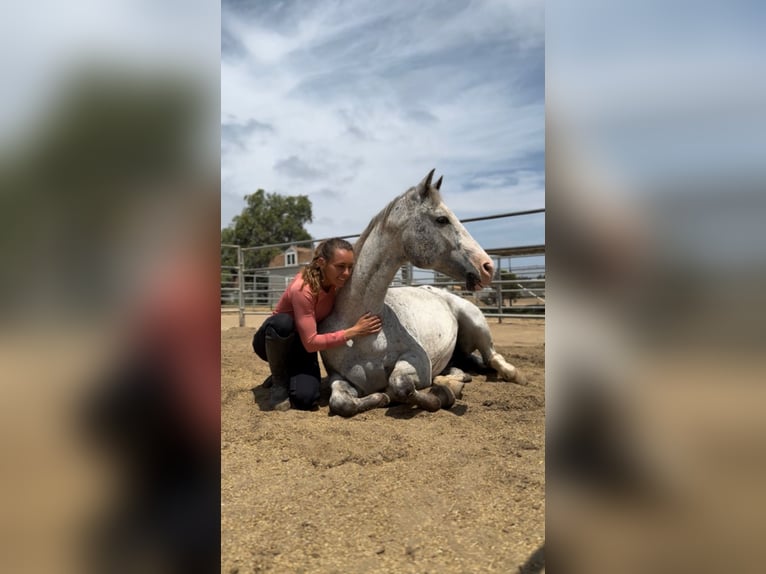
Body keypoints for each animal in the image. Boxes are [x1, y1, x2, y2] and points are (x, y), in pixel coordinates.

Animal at [318, 169, 525, 417]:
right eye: (442, 219)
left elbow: (401, 385)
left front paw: (442, 395)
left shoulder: (418, 363)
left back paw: (509, 375)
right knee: (465, 366)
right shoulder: (339, 376)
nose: (487, 267)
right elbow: (341, 402)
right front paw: (380, 397)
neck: (364, 330)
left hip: (475, 322)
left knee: (493, 358)